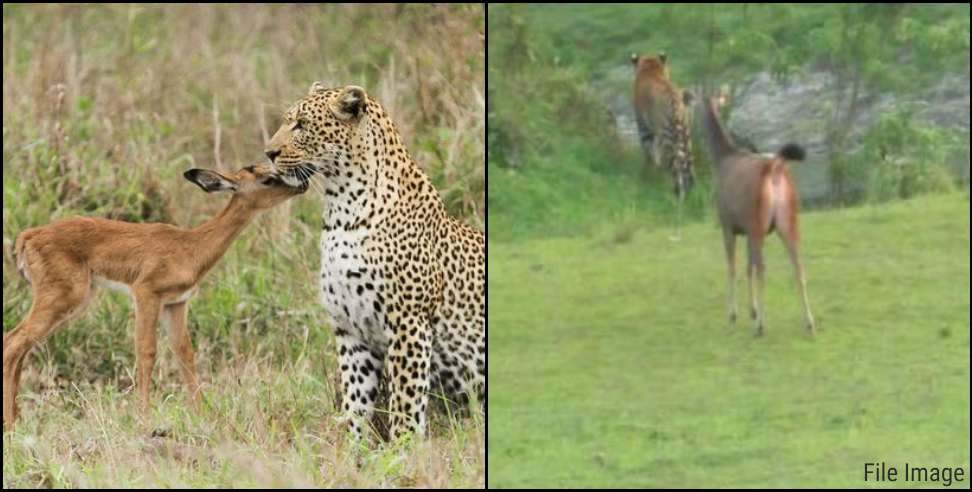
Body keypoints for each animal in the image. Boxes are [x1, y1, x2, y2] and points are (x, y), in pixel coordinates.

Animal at [2, 163, 308, 428]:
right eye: (267, 178)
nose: (303, 184)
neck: (190, 247)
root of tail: (27, 236)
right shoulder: (146, 293)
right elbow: (147, 351)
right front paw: (144, 417)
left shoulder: (177, 303)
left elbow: (185, 353)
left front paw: (201, 412)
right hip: (63, 298)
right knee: (13, 342)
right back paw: (10, 424)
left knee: (20, 346)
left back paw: (17, 419)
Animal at [266, 83, 486, 442]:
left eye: (300, 124)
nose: (267, 153)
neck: (341, 210)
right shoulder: (350, 329)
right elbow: (355, 399)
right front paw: (354, 447)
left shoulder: (408, 324)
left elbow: (405, 402)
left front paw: (402, 448)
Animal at [696, 90, 816, 336]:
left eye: (691, 99)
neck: (720, 160)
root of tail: (775, 168)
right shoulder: (746, 230)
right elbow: (747, 266)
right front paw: (751, 310)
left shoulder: (728, 224)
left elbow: (733, 266)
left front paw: (734, 313)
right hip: (787, 220)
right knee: (798, 266)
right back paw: (809, 322)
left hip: (758, 222)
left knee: (763, 267)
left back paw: (761, 326)